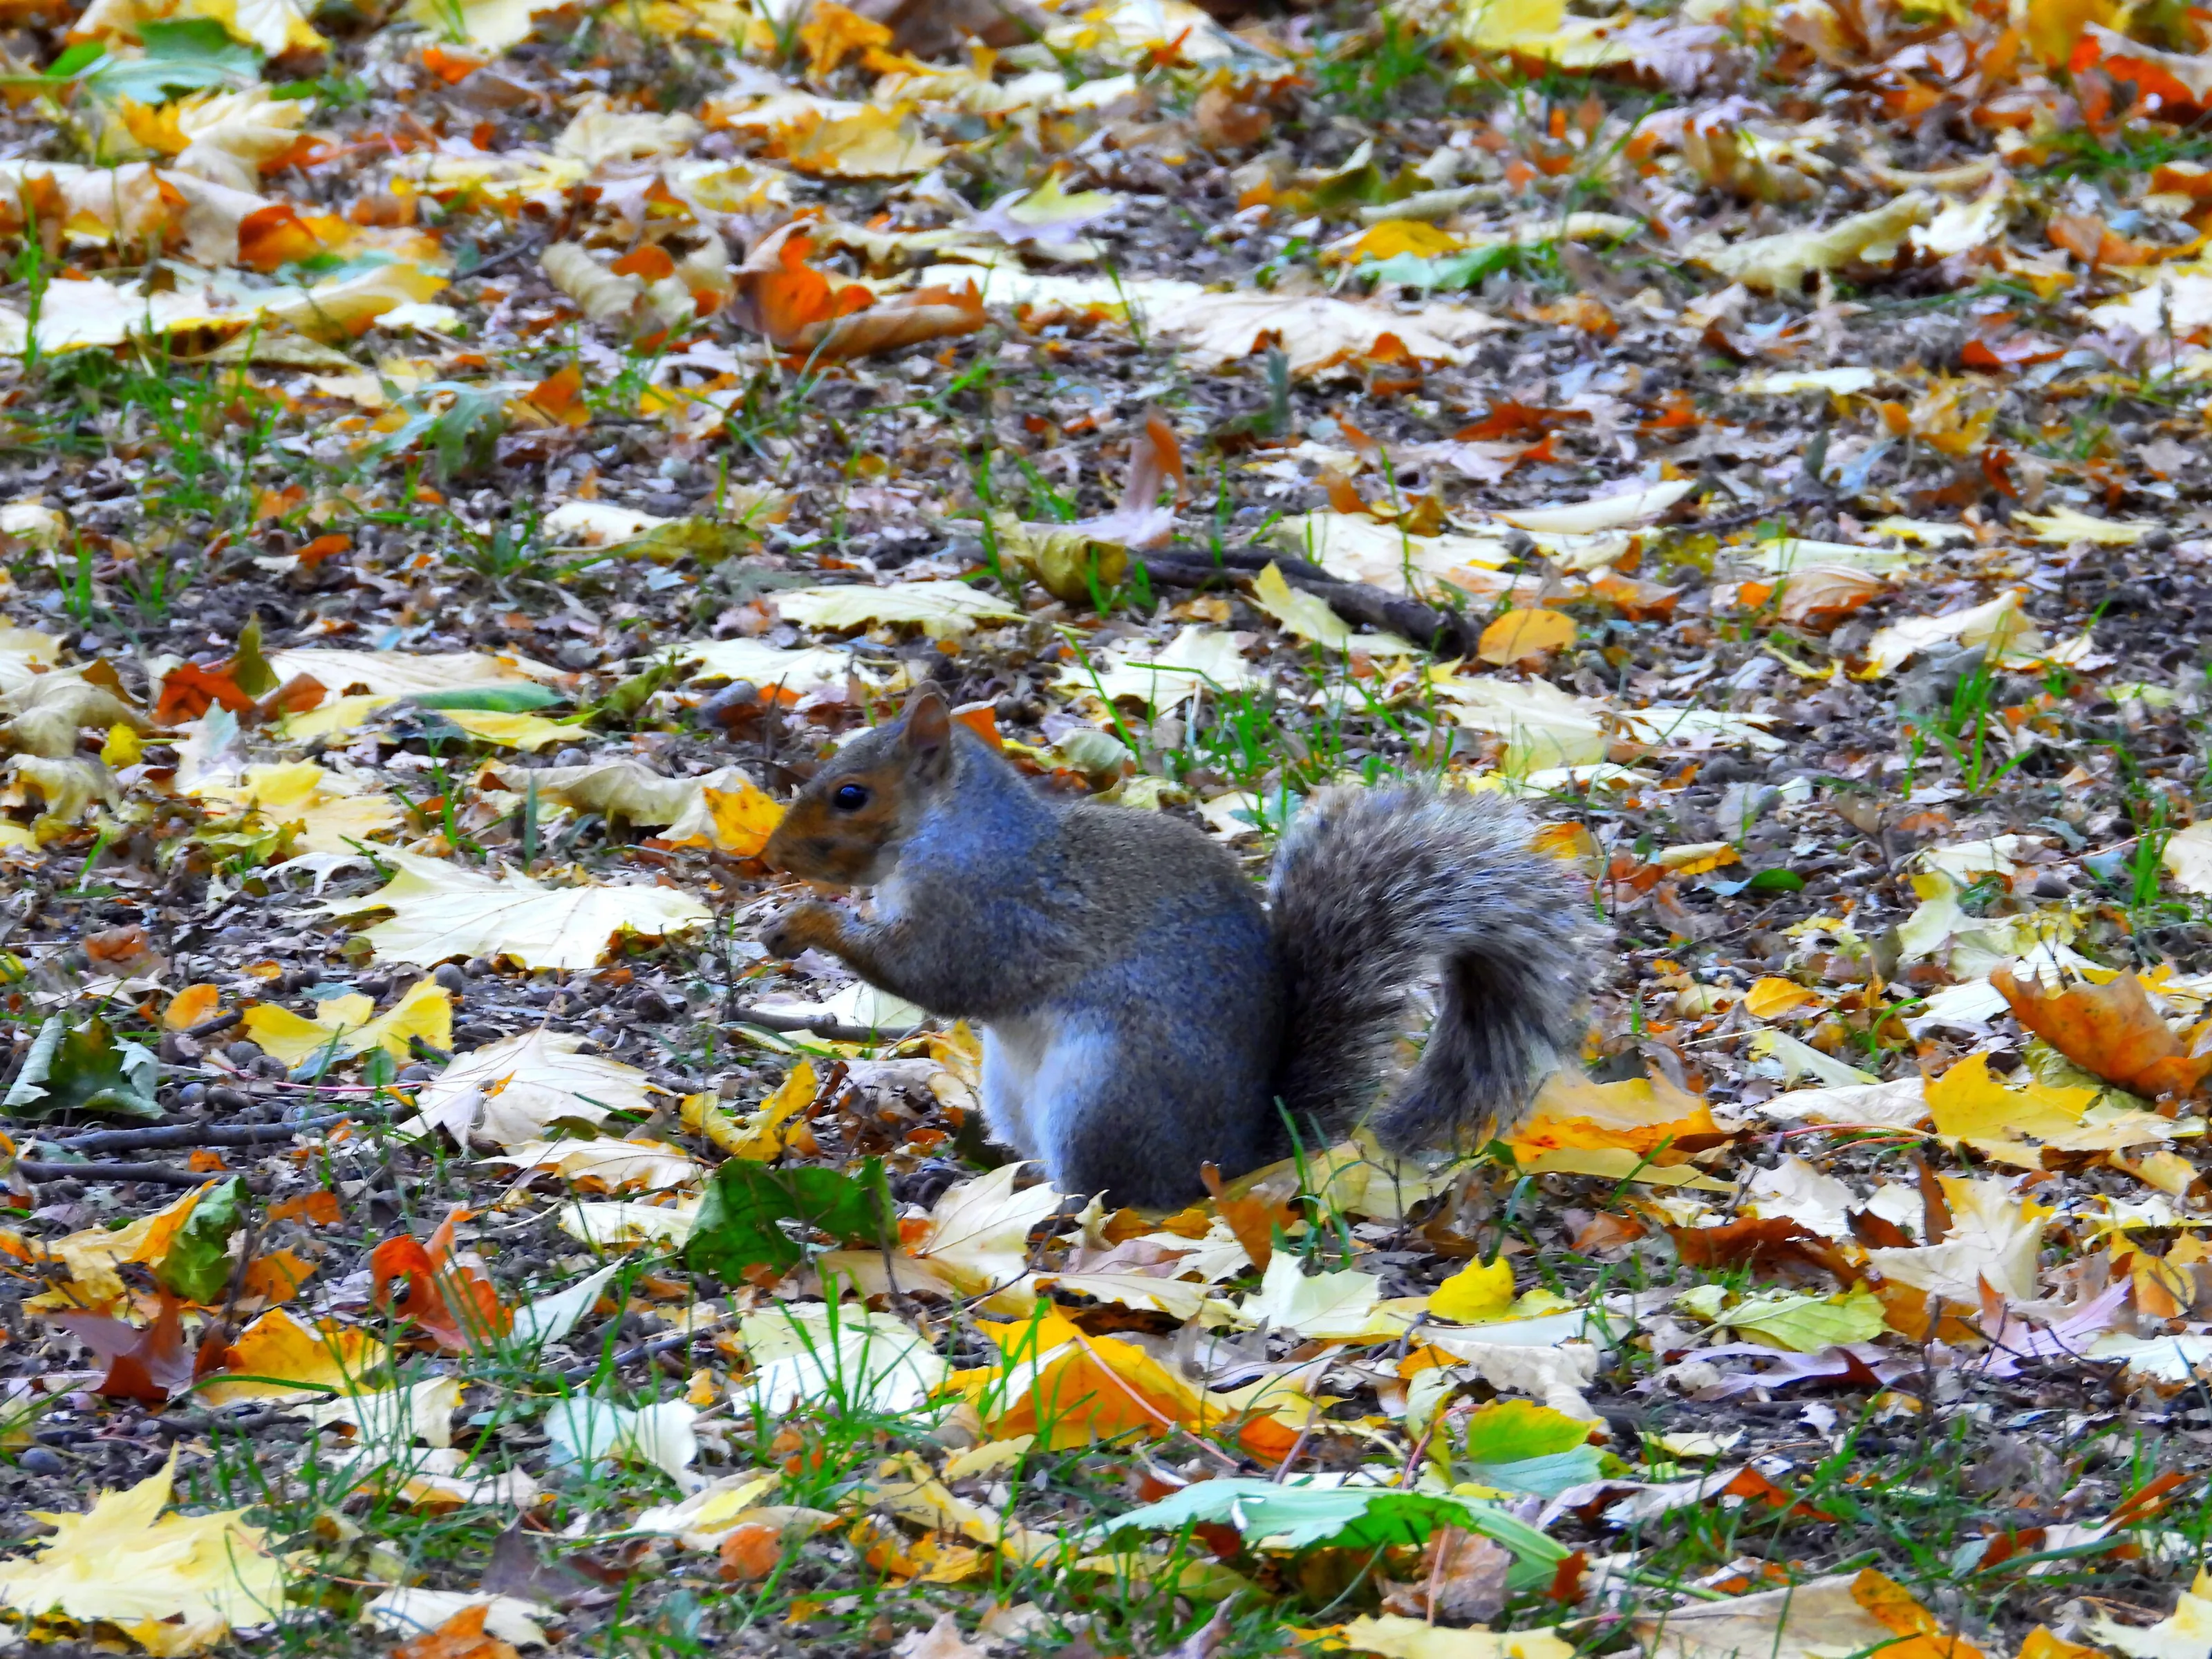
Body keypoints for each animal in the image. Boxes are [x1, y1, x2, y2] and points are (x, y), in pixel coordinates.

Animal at [760, 684, 1593, 1210]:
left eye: (850, 796)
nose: (770, 855)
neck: (951, 834)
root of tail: (1226, 1164)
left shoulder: (989, 915)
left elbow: (935, 977)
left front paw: (804, 922)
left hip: (1103, 1091)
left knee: (1110, 1198)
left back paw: (1047, 1207)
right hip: (1013, 1092)